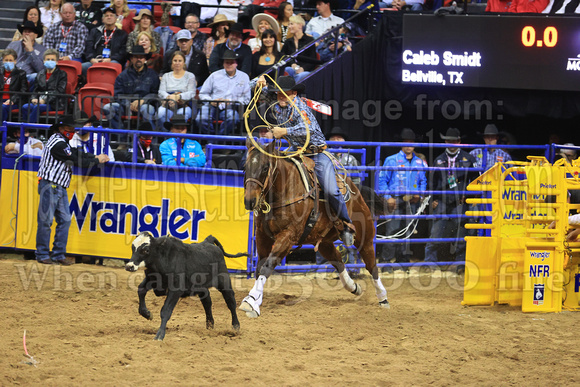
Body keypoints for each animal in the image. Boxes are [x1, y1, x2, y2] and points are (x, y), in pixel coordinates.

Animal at [238, 140, 392, 318]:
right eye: (245, 167)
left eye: (264, 168)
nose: (250, 201)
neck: (286, 190)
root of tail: (357, 190)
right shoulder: (262, 236)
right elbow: (260, 269)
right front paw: (255, 301)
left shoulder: (288, 236)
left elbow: (268, 265)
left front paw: (250, 301)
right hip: (324, 242)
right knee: (338, 259)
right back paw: (354, 287)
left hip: (364, 237)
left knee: (371, 265)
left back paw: (383, 298)